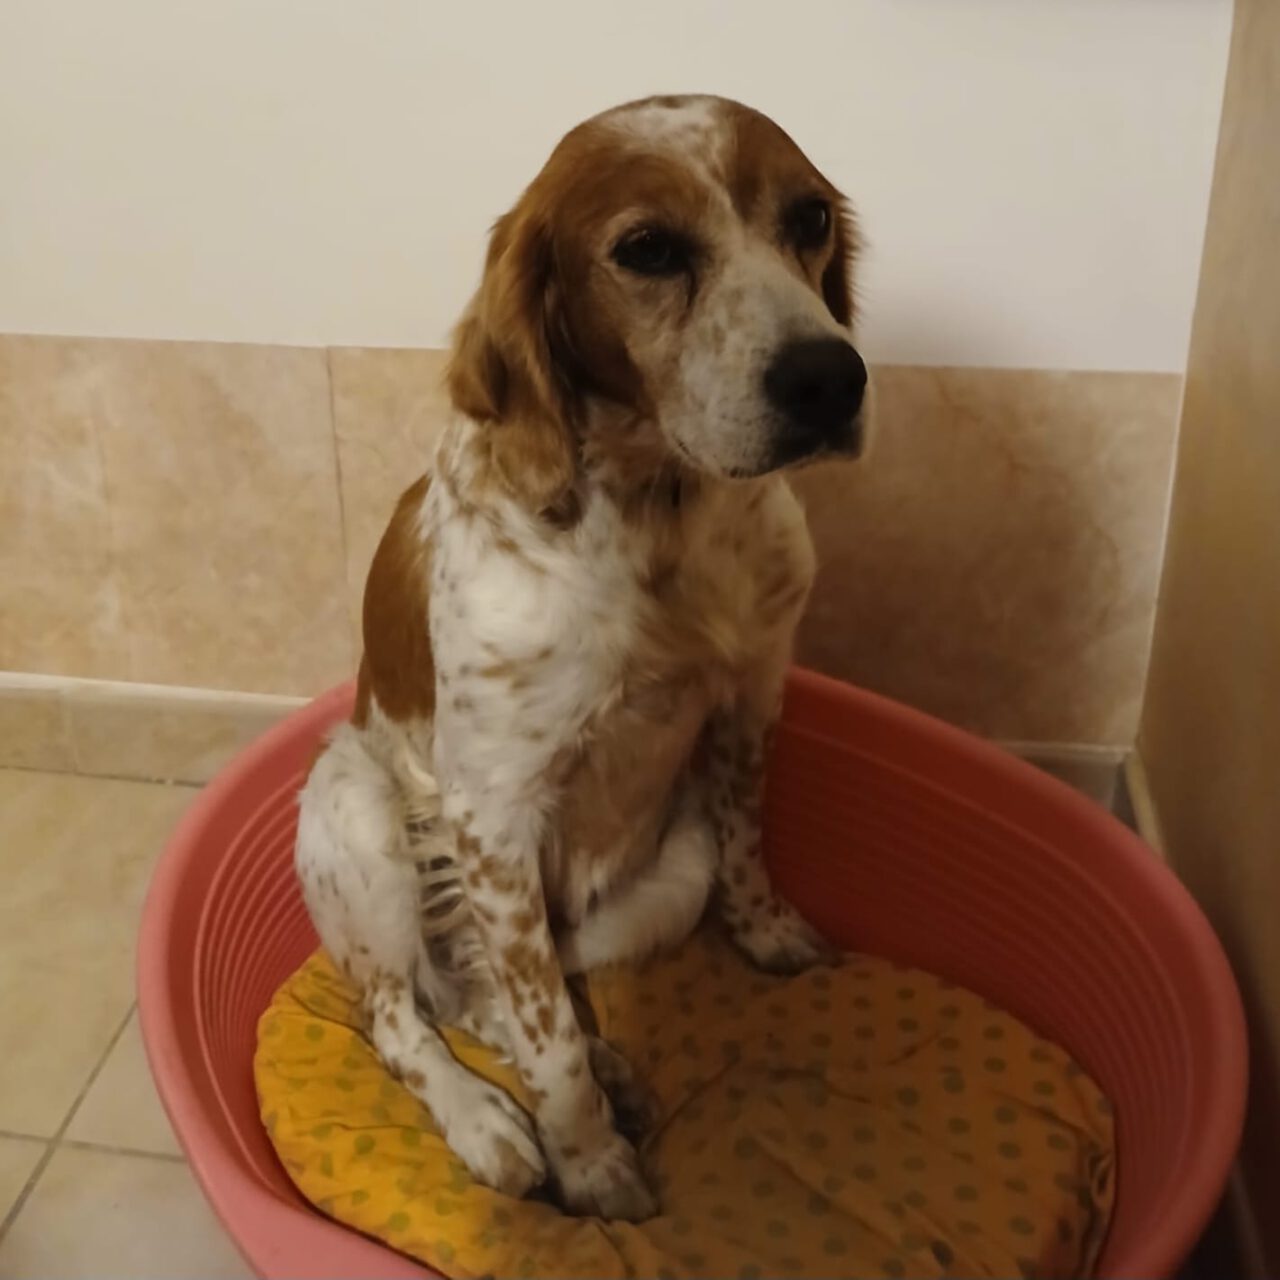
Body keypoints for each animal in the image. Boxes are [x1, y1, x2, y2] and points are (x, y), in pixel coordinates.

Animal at [295, 93, 869, 1223]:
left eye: (810, 217)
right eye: (647, 249)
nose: (830, 378)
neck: (659, 513)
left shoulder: (750, 699)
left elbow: (743, 850)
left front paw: (769, 933)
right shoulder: (490, 813)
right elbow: (543, 1037)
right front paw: (591, 1160)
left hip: (659, 885)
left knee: (492, 992)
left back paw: (606, 1069)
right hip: (357, 810)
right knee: (405, 1016)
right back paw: (488, 1123)